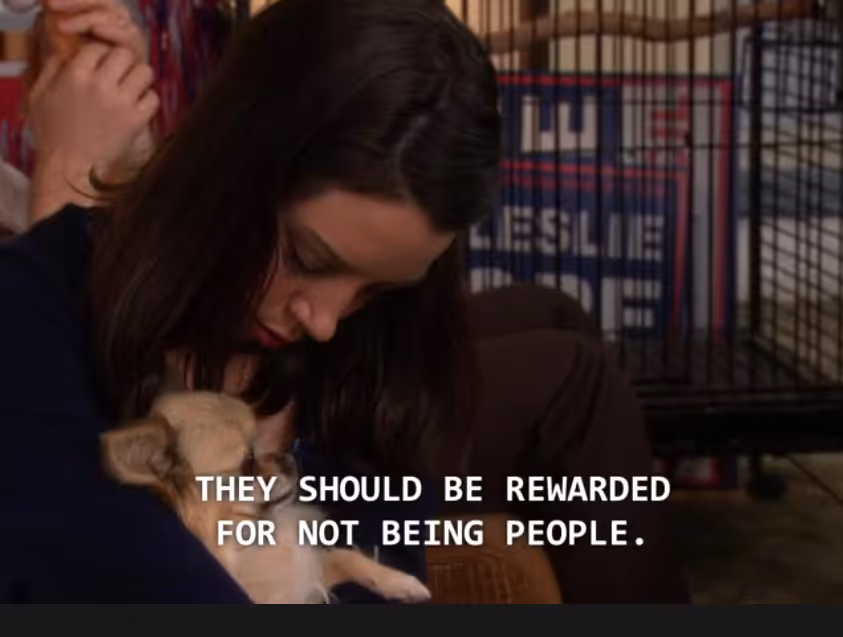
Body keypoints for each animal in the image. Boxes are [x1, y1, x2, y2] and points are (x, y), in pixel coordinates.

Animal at [100, 390, 432, 604]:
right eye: (247, 462)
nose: (289, 458)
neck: (248, 538)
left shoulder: (310, 574)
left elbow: (345, 555)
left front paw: (401, 583)